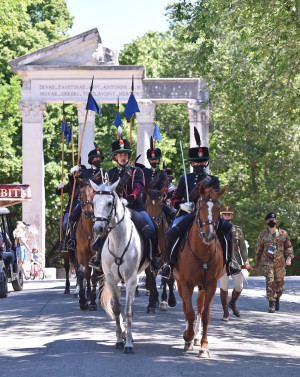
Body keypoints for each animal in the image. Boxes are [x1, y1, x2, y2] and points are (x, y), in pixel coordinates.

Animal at [90, 179, 149, 352]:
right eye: (93, 203)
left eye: (110, 203)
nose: (98, 228)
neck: (118, 240)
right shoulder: (111, 279)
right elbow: (116, 308)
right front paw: (119, 339)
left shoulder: (130, 279)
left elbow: (128, 310)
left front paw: (128, 343)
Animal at [172, 184, 226, 356]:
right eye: (200, 206)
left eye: (218, 208)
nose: (208, 235)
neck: (203, 250)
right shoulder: (186, 283)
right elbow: (189, 312)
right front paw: (187, 336)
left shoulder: (211, 284)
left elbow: (206, 314)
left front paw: (204, 347)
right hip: (179, 282)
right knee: (185, 306)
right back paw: (189, 337)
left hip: (202, 286)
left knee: (199, 307)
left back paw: (196, 337)